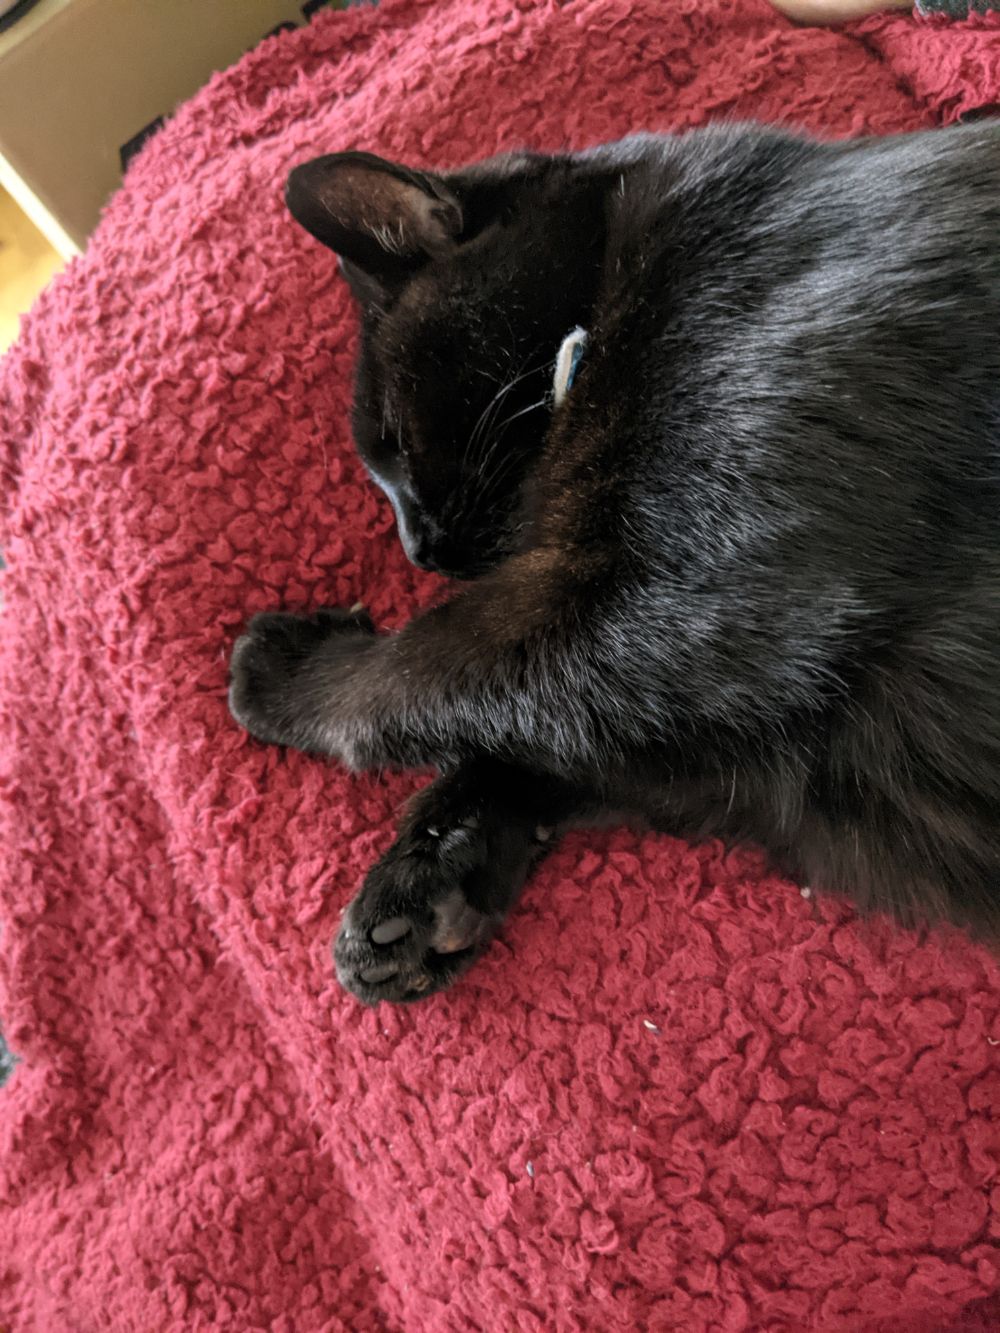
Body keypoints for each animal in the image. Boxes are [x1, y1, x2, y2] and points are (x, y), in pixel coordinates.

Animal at [229, 122, 1000, 1002]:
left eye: (388, 437)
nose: (418, 549)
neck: (604, 298)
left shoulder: (676, 617)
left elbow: (417, 670)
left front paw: (284, 669)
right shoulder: (741, 752)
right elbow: (532, 746)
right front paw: (426, 882)